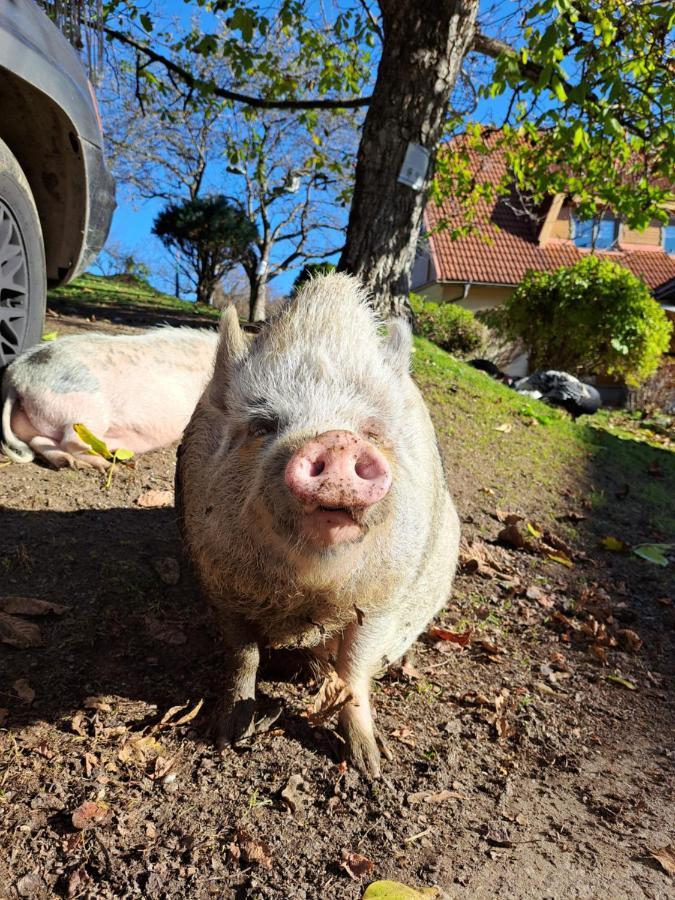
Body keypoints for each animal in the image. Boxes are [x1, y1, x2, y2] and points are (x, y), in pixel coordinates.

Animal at [174, 274, 462, 772]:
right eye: (262, 426)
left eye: (372, 431)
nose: (337, 439)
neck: (309, 591)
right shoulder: (219, 583)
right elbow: (242, 657)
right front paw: (226, 736)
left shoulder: (383, 598)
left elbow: (354, 670)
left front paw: (371, 767)